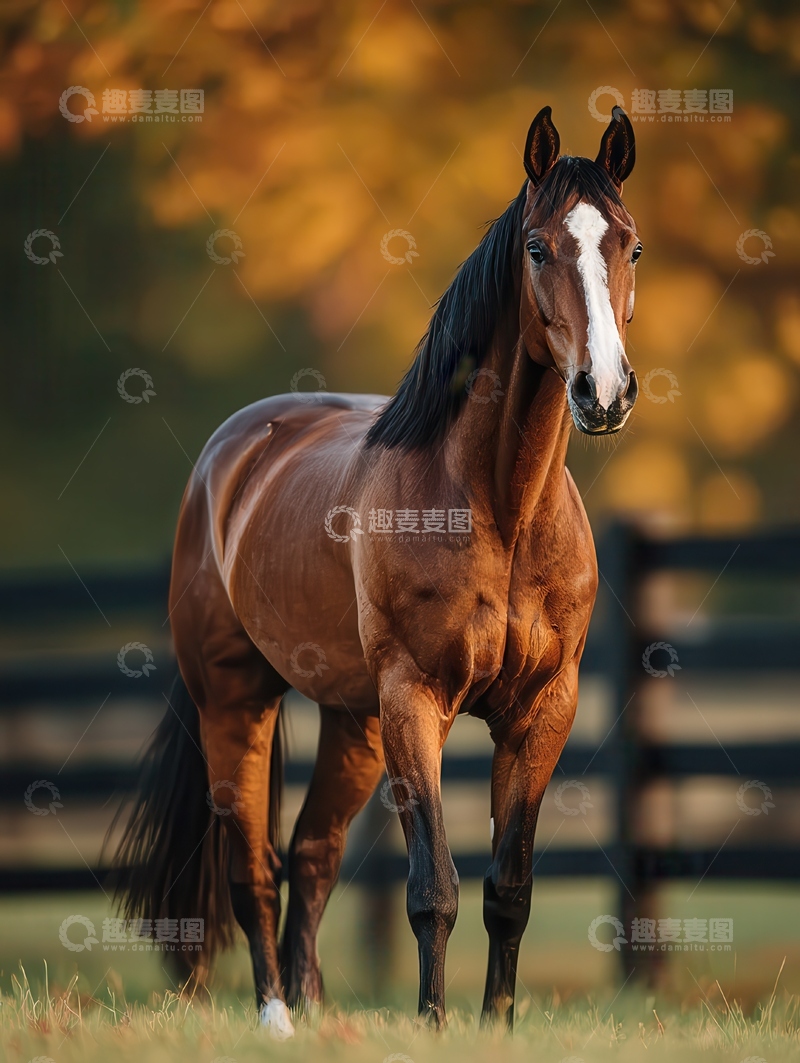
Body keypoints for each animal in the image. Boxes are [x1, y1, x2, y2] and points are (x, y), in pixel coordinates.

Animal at [111, 104, 639, 1037]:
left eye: (632, 245)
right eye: (538, 247)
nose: (602, 391)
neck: (499, 508)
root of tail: (229, 458)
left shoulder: (543, 710)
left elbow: (509, 888)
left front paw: (496, 1026)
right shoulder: (414, 701)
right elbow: (433, 888)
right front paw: (432, 1024)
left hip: (352, 723)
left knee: (313, 855)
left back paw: (315, 1010)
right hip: (238, 704)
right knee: (254, 867)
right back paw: (277, 1019)